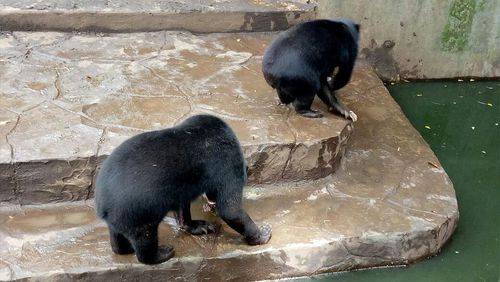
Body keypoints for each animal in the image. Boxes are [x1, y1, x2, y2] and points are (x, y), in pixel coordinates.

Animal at [95, 114, 272, 264]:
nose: (210, 200)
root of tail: (102, 204)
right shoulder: (225, 161)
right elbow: (230, 208)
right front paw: (265, 233)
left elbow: (182, 204)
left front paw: (201, 226)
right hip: (138, 209)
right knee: (145, 236)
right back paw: (163, 253)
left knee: (116, 234)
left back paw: (124, 249)